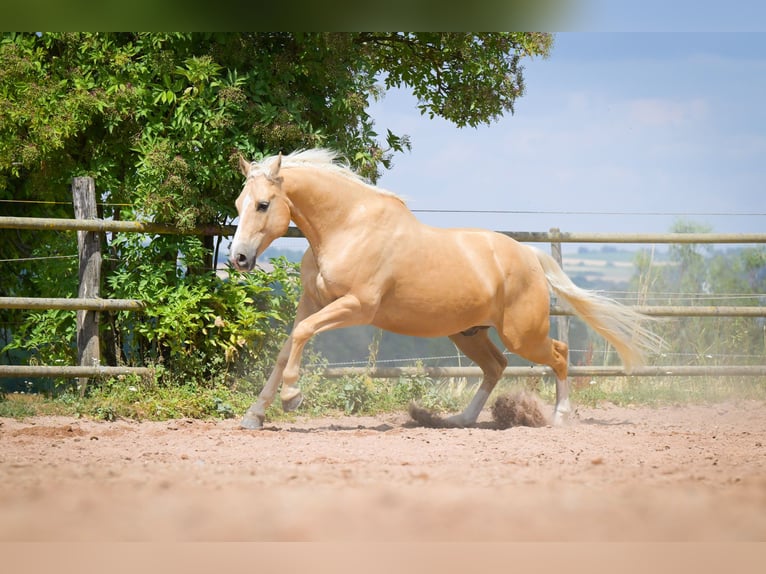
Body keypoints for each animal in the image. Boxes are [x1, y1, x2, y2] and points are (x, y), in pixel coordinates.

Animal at [230, 149, 661, 430]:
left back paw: (559, 417)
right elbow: (287, 348)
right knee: (496, 366)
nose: (238, 258)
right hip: (467, 333)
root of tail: (528, 254)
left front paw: (292, 398)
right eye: (238, 203)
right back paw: (460, 419)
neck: (347, 227)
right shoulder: (312, 302)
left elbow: (302, 335)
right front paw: (255, 415)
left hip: (522, 334)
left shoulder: (356, 306)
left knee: (558, 354)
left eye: (264, 204)